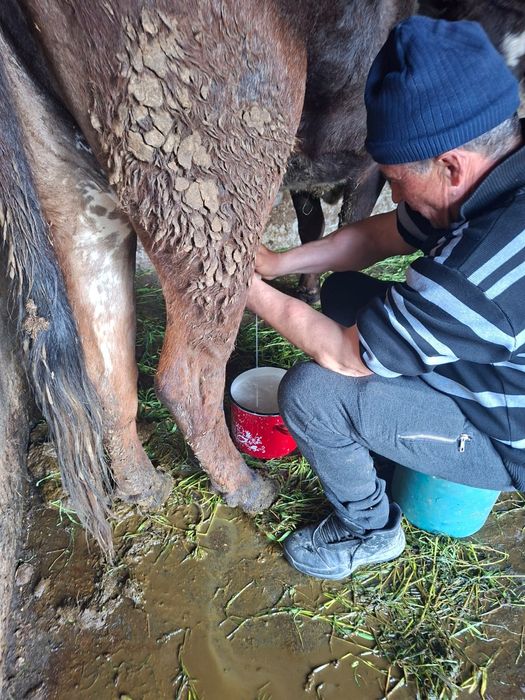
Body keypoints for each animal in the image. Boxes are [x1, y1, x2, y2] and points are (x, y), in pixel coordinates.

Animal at [0, 0, 415, 553]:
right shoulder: (368, 165)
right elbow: (347, 230)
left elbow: (315, 229)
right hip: (221, 149)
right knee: (187, 372)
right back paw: (246, 486)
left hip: (65, 168)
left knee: (105, 360)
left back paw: (144, 487)